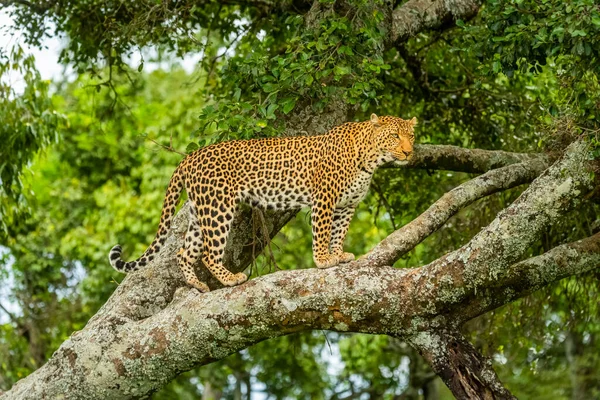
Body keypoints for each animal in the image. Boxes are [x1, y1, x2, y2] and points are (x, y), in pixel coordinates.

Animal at [109, 114, 418, 292]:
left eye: (411, 136)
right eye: (394, 136)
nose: (408, 152)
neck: (370, 159)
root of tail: (190, 157)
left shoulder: (346, 205)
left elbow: (339, 233)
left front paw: (339, 254)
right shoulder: (324, 199)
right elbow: (322, 232)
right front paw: (323, 260)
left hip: (201, 212)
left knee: (183, 252)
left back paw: (196, 284)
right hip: (219, 208)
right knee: (208, 253)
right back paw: (229, 279)